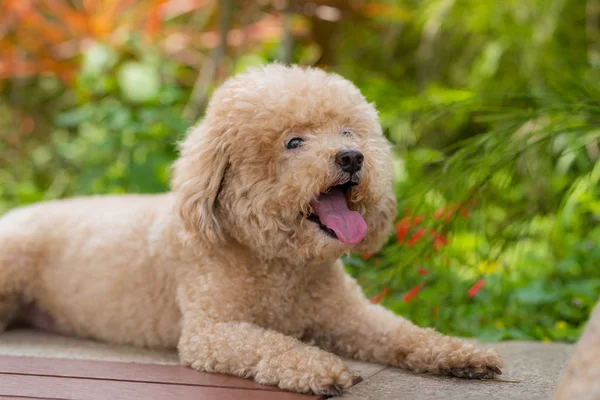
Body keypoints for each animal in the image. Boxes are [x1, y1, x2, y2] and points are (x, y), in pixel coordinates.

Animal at [1, 65, 502, 394]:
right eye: (294, 142)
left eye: (349, 133)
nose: (351, 158)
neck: (282, 265)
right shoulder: (211, 331)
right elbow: (274, 344)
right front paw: (319, 367)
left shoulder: (350, 316)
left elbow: (403, 332)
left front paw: (463, 354)